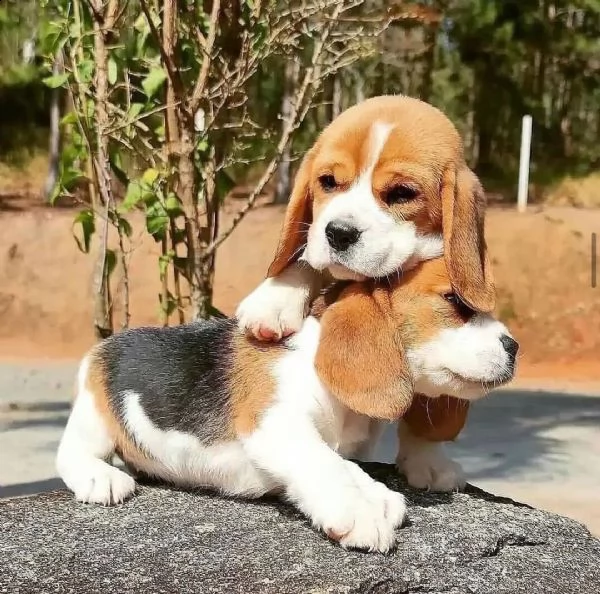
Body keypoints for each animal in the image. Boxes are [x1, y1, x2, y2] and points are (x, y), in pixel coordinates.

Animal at [56, 254, 516, 552]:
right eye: (455, 303)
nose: (515, 348)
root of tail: (105, 345)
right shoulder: (275, 426)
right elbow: (323, 463)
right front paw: (357, 510)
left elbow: (343, 464)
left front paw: (374, 494)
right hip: (93, 416)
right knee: (70, 454)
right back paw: (101, 478)